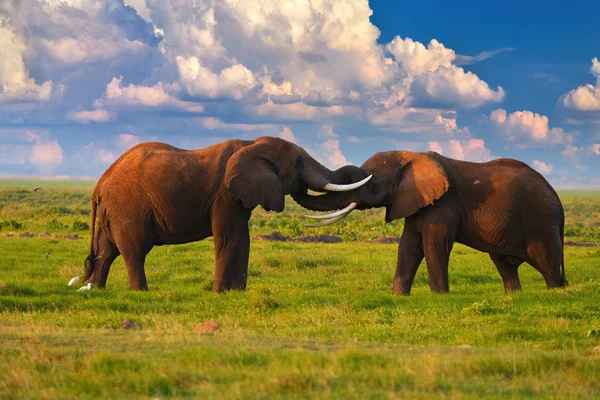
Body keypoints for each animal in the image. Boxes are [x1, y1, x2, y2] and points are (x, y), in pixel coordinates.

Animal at [84, 137, 370, 290]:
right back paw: (141, 293)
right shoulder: (225, 195)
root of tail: (100, 183)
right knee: (134, 251)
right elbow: (232, 237)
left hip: (114, 211)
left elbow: (242, 238)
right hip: (128, 209)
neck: (252, 144)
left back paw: (96, 289)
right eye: (299, 162)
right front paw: (222, 293)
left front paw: (236, 293)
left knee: (106, 251)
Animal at [294, 150, 568, 294]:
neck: (411, 156)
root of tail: (558, 199)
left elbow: (434, 245)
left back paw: (556, 293)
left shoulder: (443, 203)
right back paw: (514, 296)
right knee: (504, 264)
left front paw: (439, 296)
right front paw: (398, 296)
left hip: (541, 223)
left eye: (372, 182)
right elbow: (408, 245)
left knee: (547, 262)